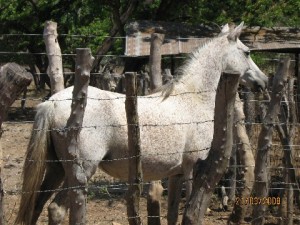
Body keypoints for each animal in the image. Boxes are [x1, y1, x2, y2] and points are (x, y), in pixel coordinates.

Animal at [15, 21, 268, 225]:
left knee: (37, 205)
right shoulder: (193, 169)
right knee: (56, 209)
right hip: (79, 172)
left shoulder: (176, 174)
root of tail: (51, 103)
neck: (192, 98)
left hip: (56, 169)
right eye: (247, 52)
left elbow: (172, 214)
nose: (263, 81)